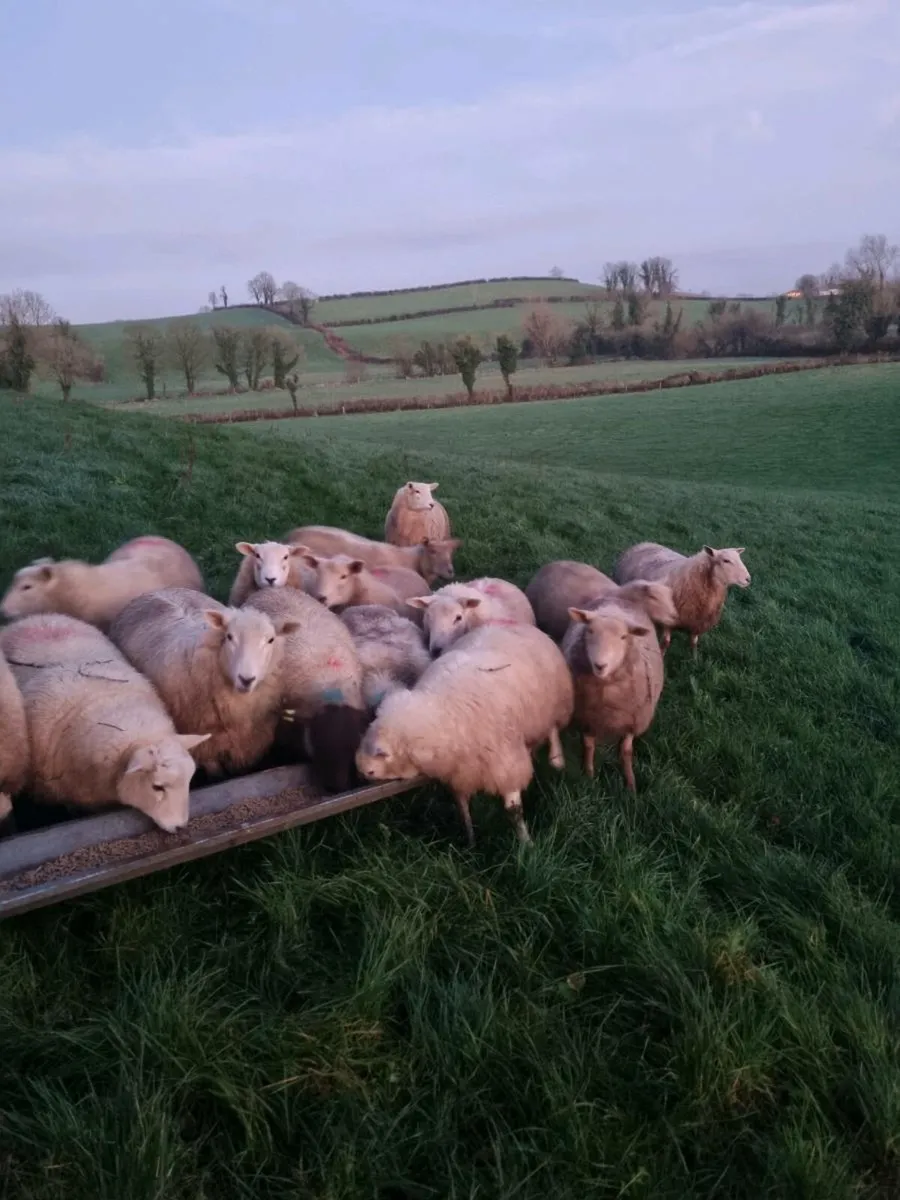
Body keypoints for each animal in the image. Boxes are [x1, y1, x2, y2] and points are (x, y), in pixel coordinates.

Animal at [109, 587, 298, 778]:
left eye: (271, 640)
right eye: (229, 636)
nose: (246, 679)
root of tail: (158, 590)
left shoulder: (249, 740)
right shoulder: (204, 743)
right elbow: (216, 773)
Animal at [356, 623, 574, 847]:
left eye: (373, 768)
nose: (360, 772)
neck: (440, 711)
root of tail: (516, 624)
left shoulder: (506, 765)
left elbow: (514, 811)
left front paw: (526, 843)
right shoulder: (459, 772)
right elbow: (462, 808)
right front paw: (470, 841)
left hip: (555, 703)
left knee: (553, 729)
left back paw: (557, 760)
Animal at [560, 598, 665, 792]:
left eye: (623, 637)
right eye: (590, 630)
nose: (600, 665)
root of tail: (616, 598)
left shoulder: (632, 721)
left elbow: (626, 752)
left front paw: (631, 785)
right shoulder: (587, 718)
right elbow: (588, 746)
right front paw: (589, 777)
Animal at [612, 542, 751, 654]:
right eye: (726, 560)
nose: (748, 579)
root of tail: (643, 543)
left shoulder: (698, 621)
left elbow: (694, 642)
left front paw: (694, 659)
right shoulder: (669, 619)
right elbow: (665, 642)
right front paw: (661, 656)